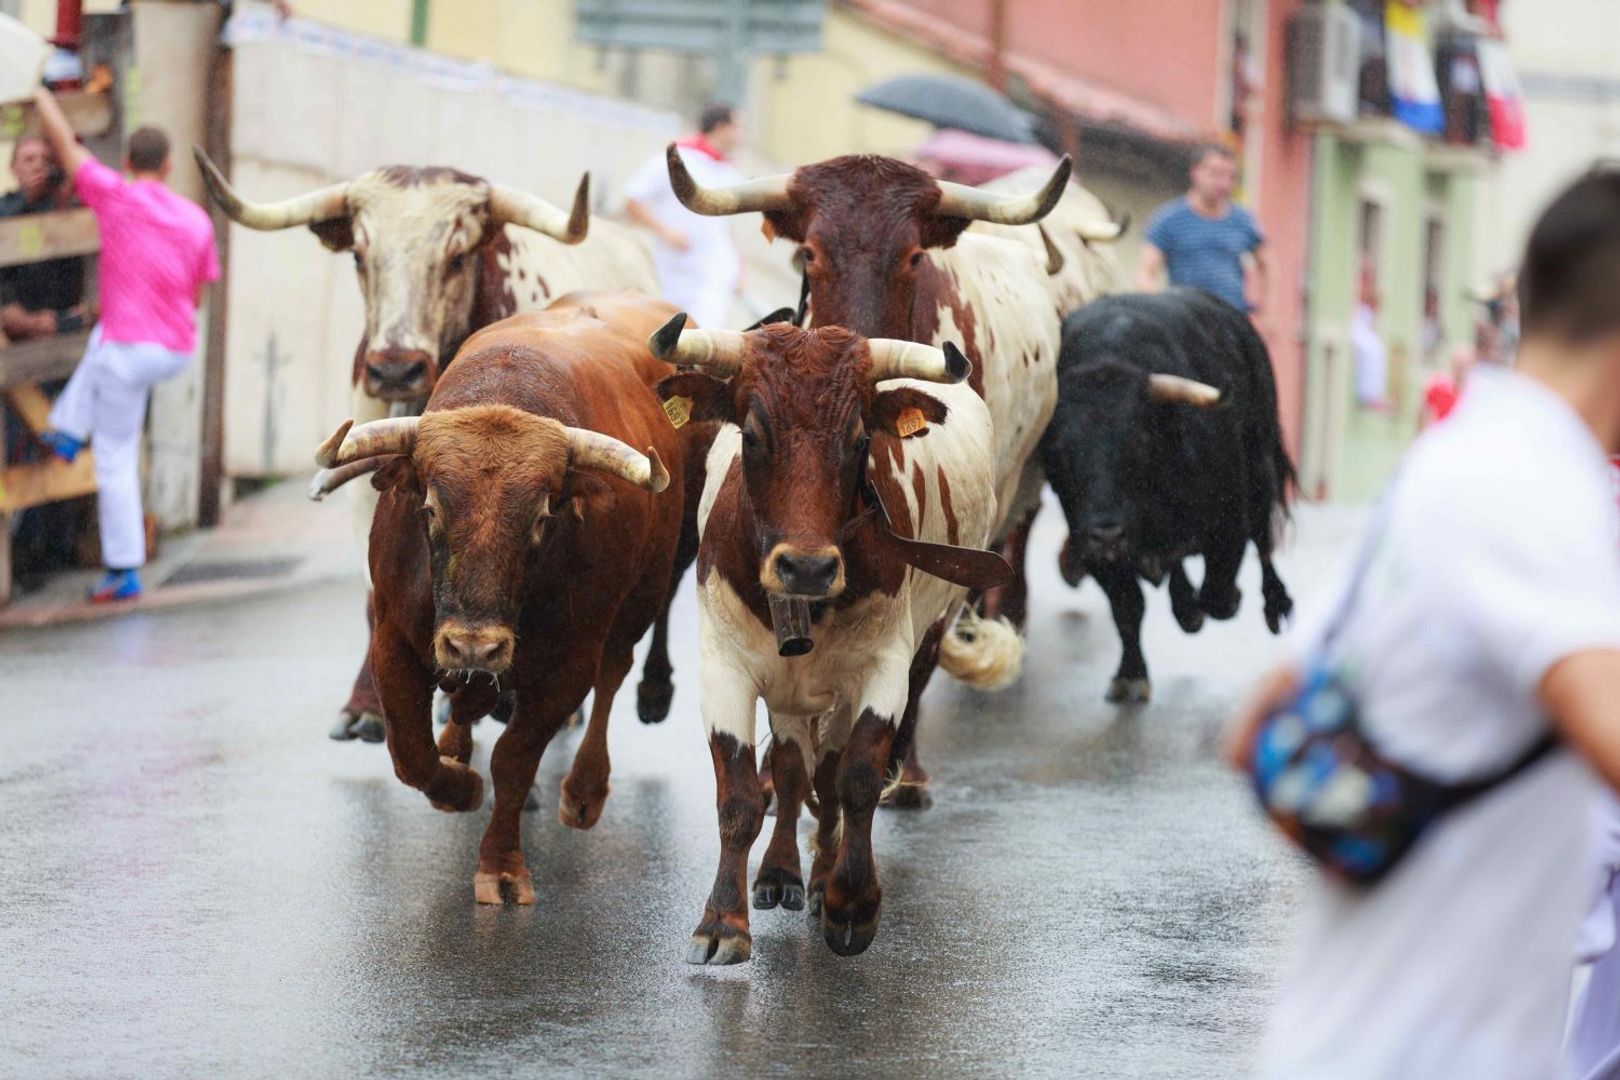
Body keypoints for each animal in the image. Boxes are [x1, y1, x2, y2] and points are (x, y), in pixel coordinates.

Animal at [194, 152, 686, 751]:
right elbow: (374, 593)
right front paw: (365, 707)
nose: (394, 368)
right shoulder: (375, 482)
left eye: (456, 256)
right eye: (359, 254)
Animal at [309, 295, 697, 902]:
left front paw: (502, 868)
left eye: (542, 517)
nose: (475, 645)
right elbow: (412, 754)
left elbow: (515, 760)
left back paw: (584, 790)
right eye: (429, 507)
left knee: (613, 678)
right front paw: (458, 786)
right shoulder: (394, 641)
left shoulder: (567, 667)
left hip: (640, 601)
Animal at [648, 317, 1013, 962]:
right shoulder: (724, 669)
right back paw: (781, 873)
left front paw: (850, 903)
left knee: (828, 772)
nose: (808, 568)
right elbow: (741, 795)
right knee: (794, 767)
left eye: (860, 439)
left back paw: (821, 882)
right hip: (790, 690)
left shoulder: (882, 667)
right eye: (752, 435)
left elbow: (857, 780)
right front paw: (722, 921)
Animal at [1040, 288, 1295, 704]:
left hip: (1261, 465)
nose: (1107, 533)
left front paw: (1209, 606)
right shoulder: (1092, 548)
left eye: (1137, 443)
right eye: (1059, 452)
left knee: (1263, 539)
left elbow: (1219, 594)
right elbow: (1128, 607)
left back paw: (1275, 605)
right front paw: (1130, 674)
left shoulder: (1229, 526)